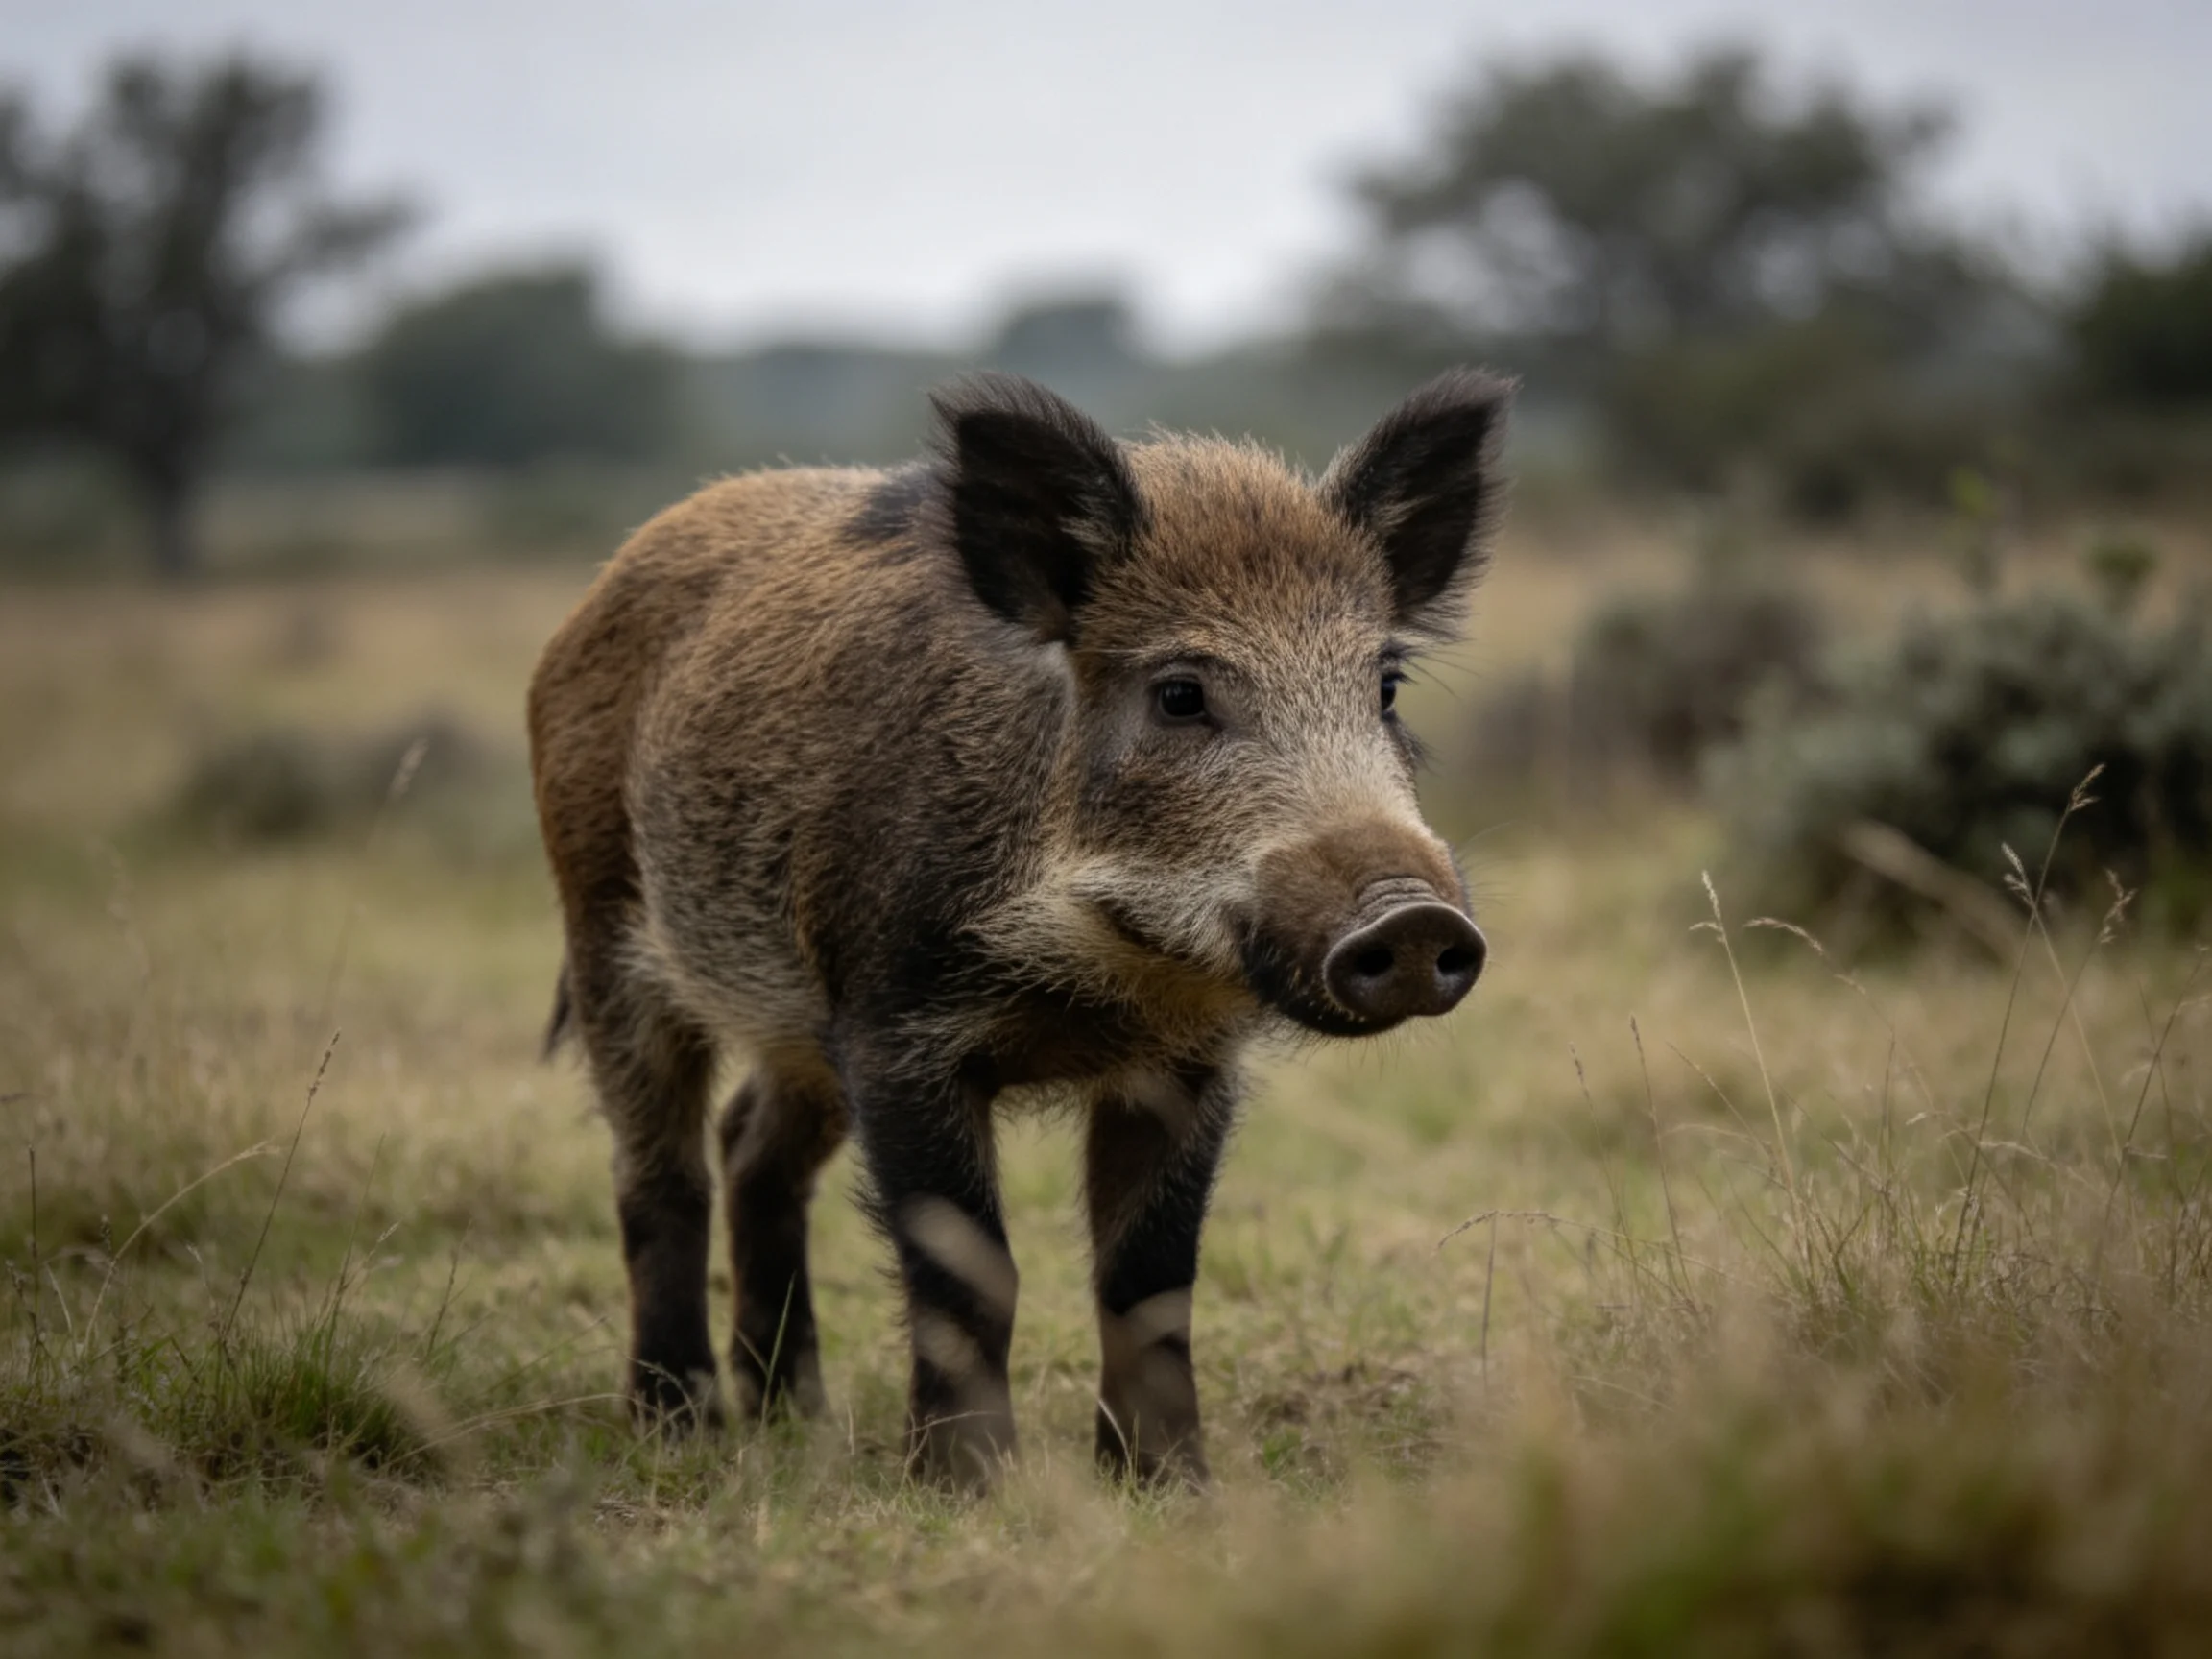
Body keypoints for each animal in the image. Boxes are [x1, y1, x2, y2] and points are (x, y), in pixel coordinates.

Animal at [527, 369, 1510, 1489]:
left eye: (1383, 685)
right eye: (1180, 694)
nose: (1414, 914)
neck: (1100, 974)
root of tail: (593, 599)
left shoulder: (1184, 1065)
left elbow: (1151, 1276)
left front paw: (1170, 1486)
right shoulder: (895, 1027)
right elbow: (971, 1269)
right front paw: (968, 1488)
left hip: (797, 1030)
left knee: (751, 1147)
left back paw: (795, 1419)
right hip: (606, 933)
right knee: (660, 1178)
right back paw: (676, 1428)